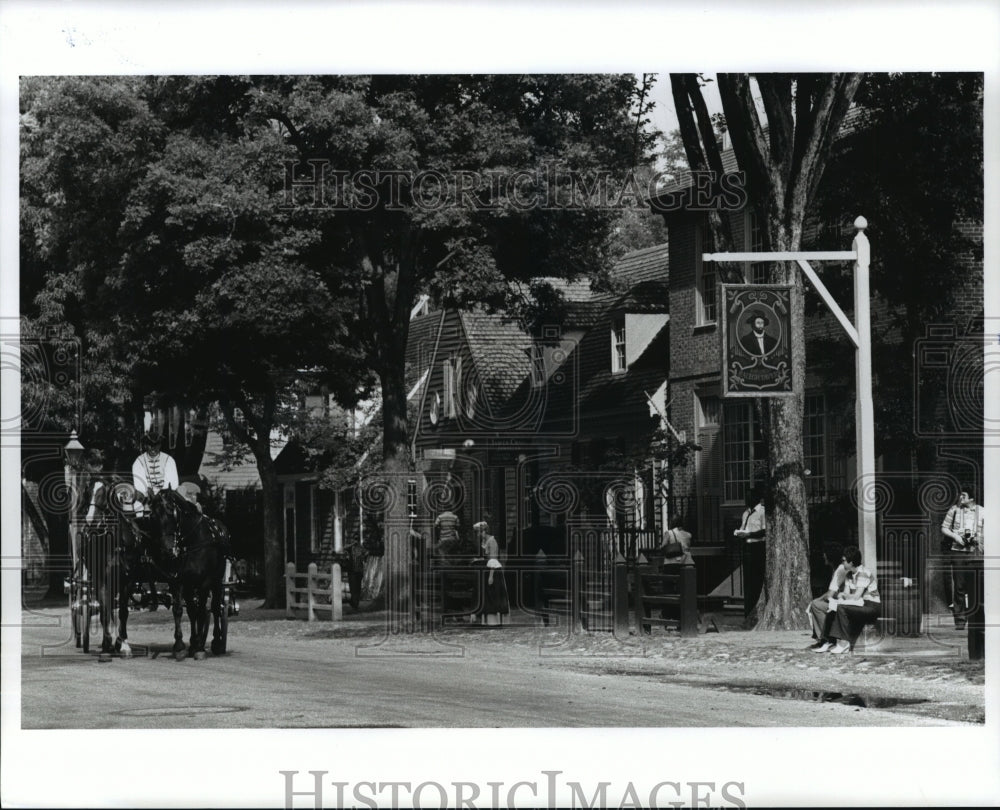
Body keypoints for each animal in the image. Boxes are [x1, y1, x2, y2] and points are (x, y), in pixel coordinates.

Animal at [147, 486, 229, 656]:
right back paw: (194, 642)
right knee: (193, 610)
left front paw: (199, 647)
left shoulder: (205, 582)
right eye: (153, 516)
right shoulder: (178, 581)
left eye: (171, 512)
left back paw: (216, 642)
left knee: (215, 608)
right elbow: (181, 610)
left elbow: (202, 611)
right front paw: (180, 644)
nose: (167, 550)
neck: (192, 542)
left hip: (217, 581)